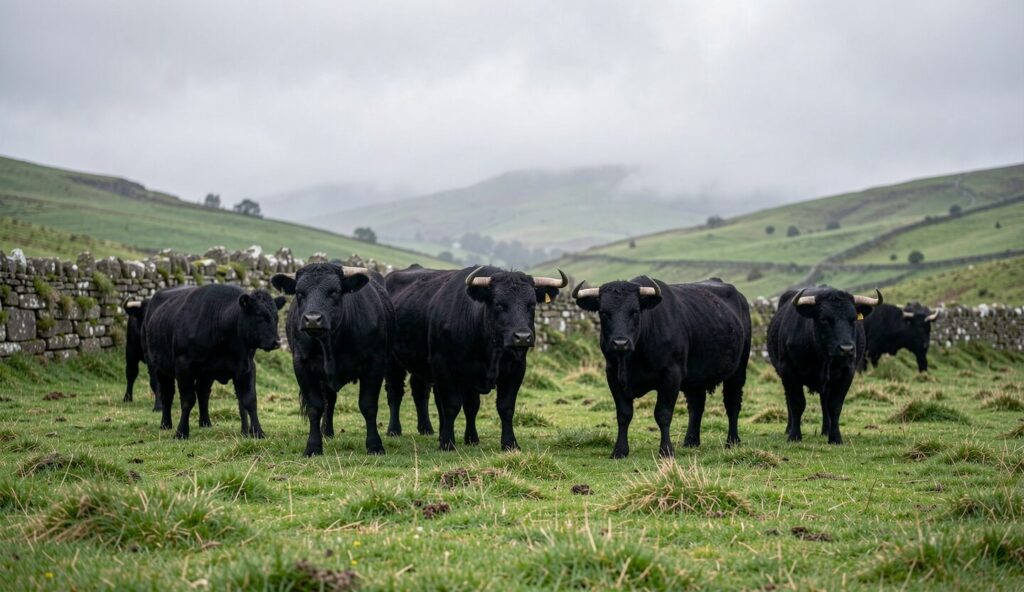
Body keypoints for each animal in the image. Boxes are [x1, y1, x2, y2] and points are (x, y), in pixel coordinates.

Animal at [144, 284, 285, 440]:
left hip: (206, 374)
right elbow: (187, 400)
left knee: (203, 393)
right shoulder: (183, 366)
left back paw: (205, 422)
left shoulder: (246, 367)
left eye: (276, 317)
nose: (277, 342)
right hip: (160, 368)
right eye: (260, 315)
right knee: (166, 394)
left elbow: (249, 400)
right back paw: (165, 424)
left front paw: (257, 432)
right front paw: (181, 432)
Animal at [271, 263, 394, 457]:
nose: (312, 319)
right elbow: (315, 406)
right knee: (329, 400)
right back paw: (326, 432)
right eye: (299, 292)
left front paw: (375, 445)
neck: (330, 344)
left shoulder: (375, 365)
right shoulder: (302, 366)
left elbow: (368, 405)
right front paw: (313, 447)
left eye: (335, 291)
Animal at [386, 265, 567, 451]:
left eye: (531, 305)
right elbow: (451, 405)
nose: (523, 337)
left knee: (420, 390)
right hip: (393, 362)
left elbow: (497, 407)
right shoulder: (443, 365)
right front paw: (447, 443)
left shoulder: (515, 368)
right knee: (395, 392)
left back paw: (427, 429)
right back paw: (394, 430)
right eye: (499, 304)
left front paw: (503, 442)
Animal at [572, 277, 752, 458]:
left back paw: (732, 441)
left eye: (635, 312)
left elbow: (663, 414)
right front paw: (620, 451)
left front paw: (666, 451)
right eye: (603, 313)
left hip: (738, 370)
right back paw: (691, 441)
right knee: (696, 405)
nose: (620, 343)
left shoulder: (671, 375)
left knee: (732, 403)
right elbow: (623, 414)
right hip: (696, 377)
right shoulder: (613, 375)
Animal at [767, 286, 882, 444]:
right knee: (789, 400)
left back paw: (826, 430)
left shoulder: (847, 373)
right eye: (825, 320)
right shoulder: (789, 372)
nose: (847, 349)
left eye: (853, 319)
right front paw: (794, 436)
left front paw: (835, 437)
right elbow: (796, 403)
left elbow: (835, 405)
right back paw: (789, 429)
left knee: (824, 403)